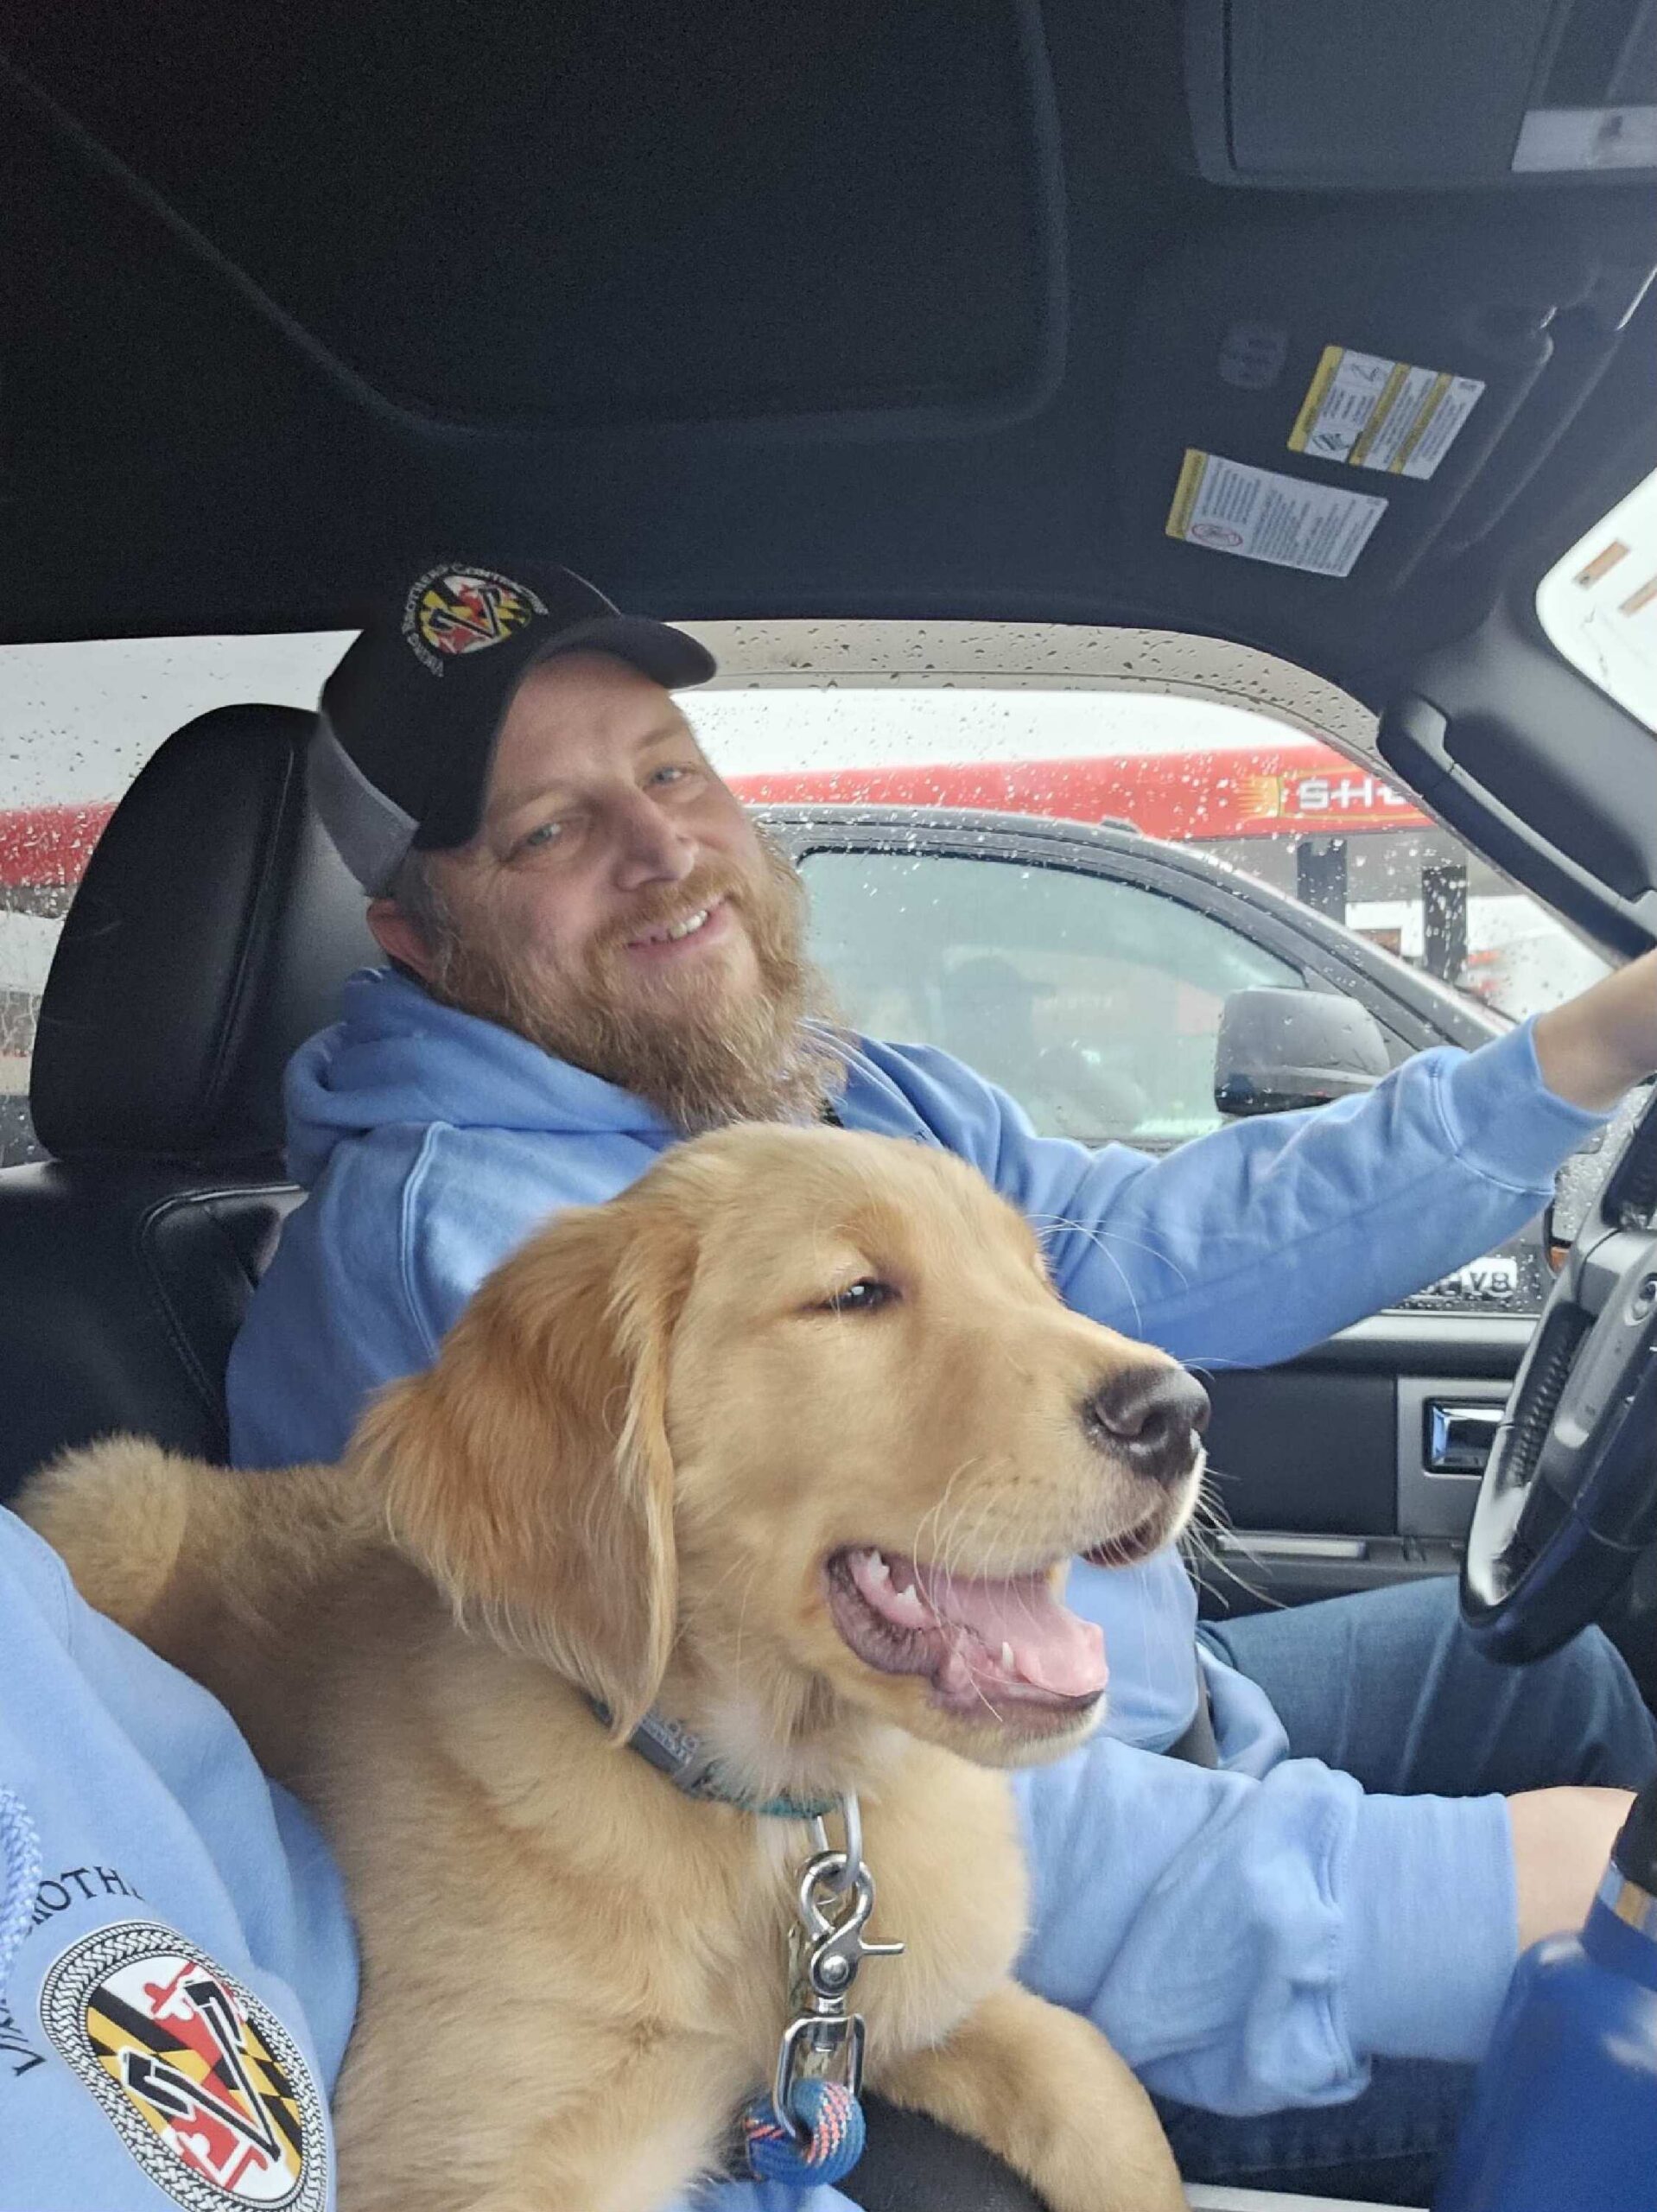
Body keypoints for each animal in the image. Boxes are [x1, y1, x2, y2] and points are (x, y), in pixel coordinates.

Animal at [22, 1123, 1203, 2212]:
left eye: (1036, 1282)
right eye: (857, 1293)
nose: (1177, 1413)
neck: (761, 1818)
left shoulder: (905, 2007)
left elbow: (1093, 2085)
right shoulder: (481, 2152)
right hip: (104, 1495)